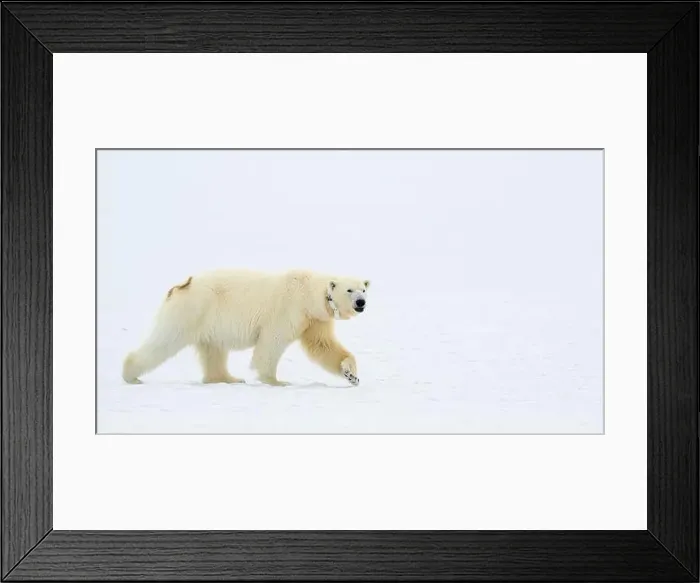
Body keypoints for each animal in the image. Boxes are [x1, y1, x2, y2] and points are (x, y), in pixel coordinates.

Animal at [121, 269, 370, 387]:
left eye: (364, 289)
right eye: (349, 290)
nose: (361, 303)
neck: (308, 293)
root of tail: (181, 285)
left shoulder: (315, 319)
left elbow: (323, 346)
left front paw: (351, 375)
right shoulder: (288, 309)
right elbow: (271, 342)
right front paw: (276, 381)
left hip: (210, 321)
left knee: (213, 350)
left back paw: (228, 378)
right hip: (193, 310)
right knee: (166, 341)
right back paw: (131, 375)